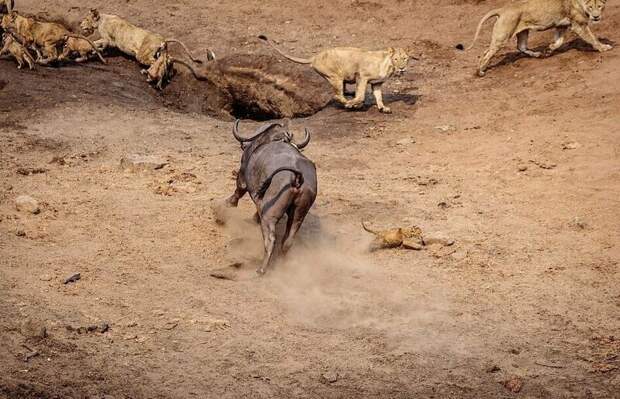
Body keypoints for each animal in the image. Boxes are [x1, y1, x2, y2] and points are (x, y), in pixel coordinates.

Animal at [81, 9, 212, 89]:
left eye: (86, 19)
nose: (81, 25)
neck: (101, 20)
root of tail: (163, 38)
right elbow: (99, 45)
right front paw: (97, 51)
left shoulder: (108, 39)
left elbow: (96, 42)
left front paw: (93, 48)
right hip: (160, 53)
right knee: (168, 61)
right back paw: (168, 76)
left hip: (141, 55)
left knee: (155, 63)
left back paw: (148, 74)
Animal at [224, 119, 320, 276]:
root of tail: (298, 177)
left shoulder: (242, 174)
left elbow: (239, 190)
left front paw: (227, 204)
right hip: (299, 213)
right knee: (288, 241)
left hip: (270, 214)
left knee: (270, 239)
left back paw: (262, 269)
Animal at [258, 34, 412, 114]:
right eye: (396, 59)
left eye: (405, 58)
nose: (402, 68)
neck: (388, 66)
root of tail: (315, 57)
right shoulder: (361, 76)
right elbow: (360, 95)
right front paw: (355, 103)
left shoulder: (377, 83)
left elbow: (378, 96)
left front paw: (383, 108)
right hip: (335, 76)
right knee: (337, 95)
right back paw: (349, 104)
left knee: (339, 94)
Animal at [468, 0, 612, 76]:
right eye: (591, 7)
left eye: (600, 6)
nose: (596, 17)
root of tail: (502, 9)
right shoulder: (579, 25)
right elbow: (592, 38)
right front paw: (603, 47)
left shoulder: (562, 25)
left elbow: (559, 41)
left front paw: (549, 49)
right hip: (502, 37)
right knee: (486, 53)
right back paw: (480, 72)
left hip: (523, 32)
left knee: (521, 46)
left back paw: (537, 54)